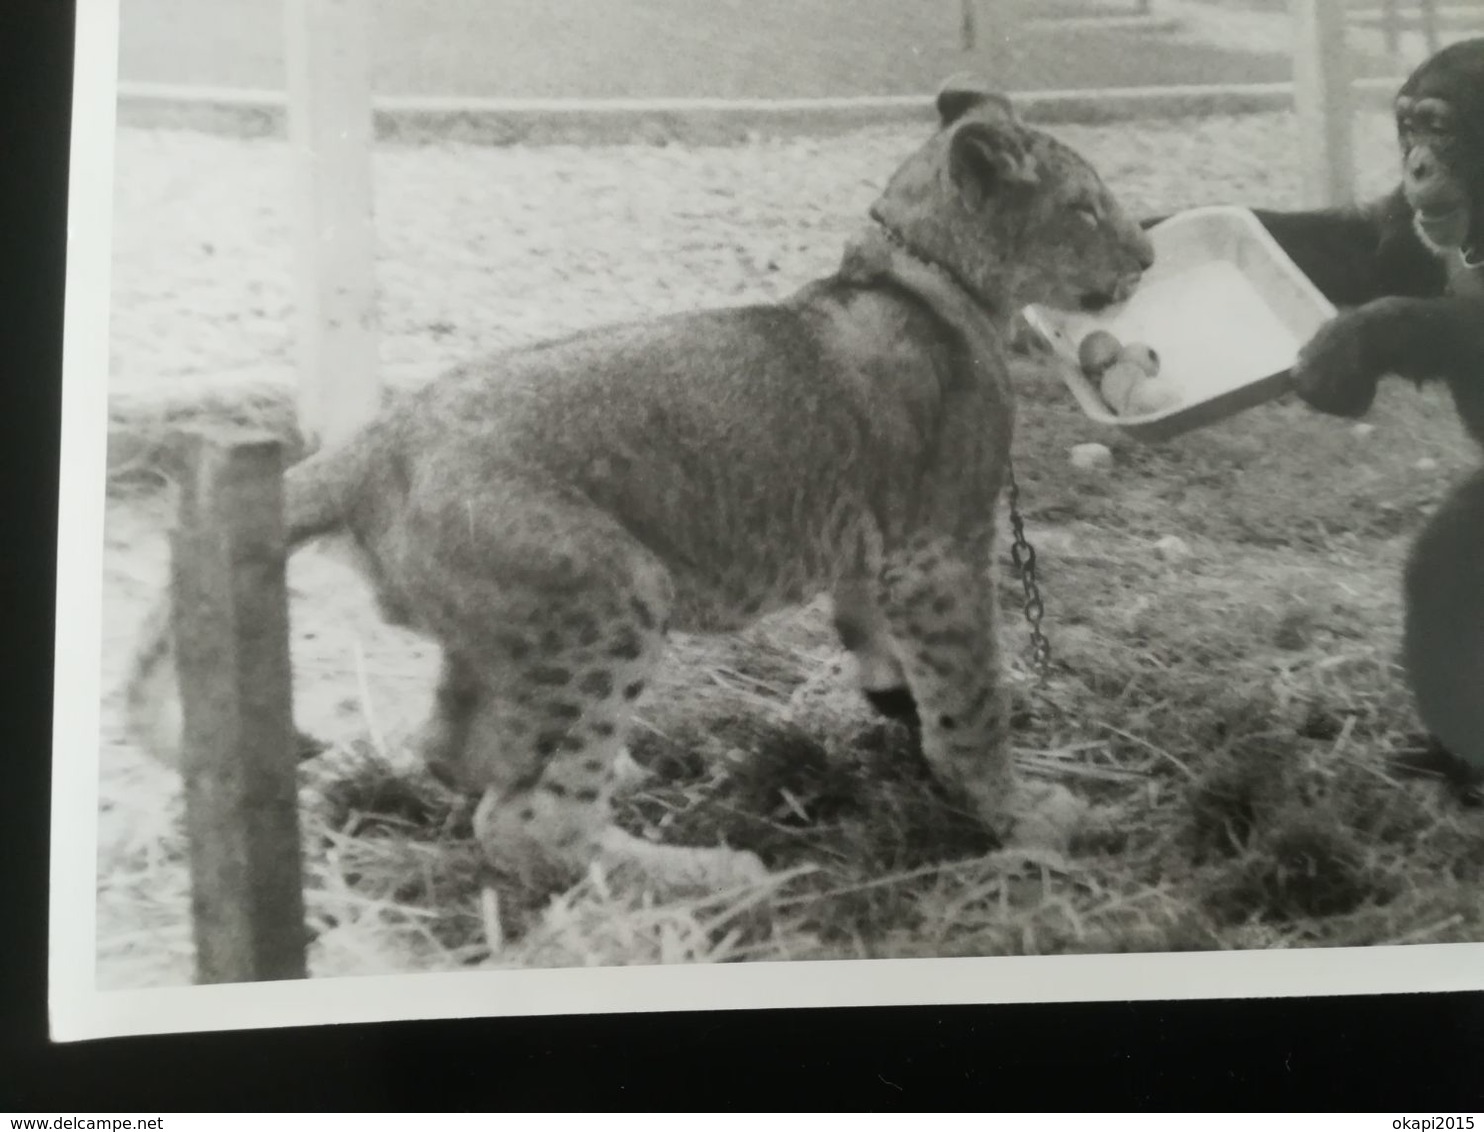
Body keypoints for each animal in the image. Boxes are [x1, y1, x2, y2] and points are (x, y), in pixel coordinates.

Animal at [1157, 37, 1484, 795]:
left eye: (1440, 127)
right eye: (1407, 129)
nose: (1416, 165)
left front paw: (1361, 338)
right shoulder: (1404, 232)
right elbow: (1366, 252)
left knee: (1449, 561)